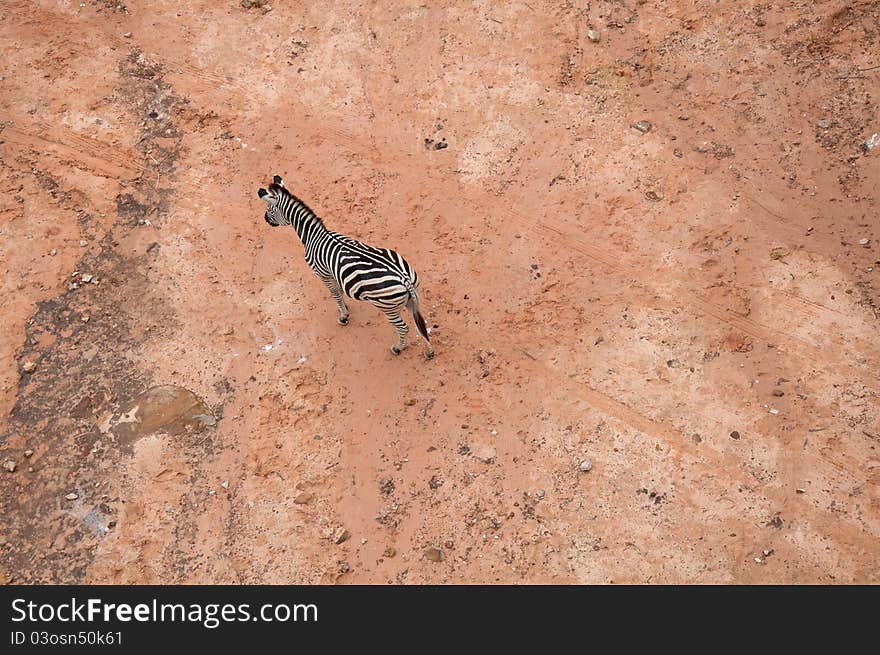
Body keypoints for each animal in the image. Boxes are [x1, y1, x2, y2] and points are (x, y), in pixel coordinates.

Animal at [256, 174, 434, 358]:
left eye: (269, 208)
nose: (265, 219)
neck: (314, 235)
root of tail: (404, 278)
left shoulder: (322, 273)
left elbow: (334, 293)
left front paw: (343, 317)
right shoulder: (333, 271)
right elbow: (339, 292)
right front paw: (345, 308)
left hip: (387, 307)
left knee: (404, 328)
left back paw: (397, 348)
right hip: (411, 298)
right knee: (420, 324)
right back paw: (429, 352)